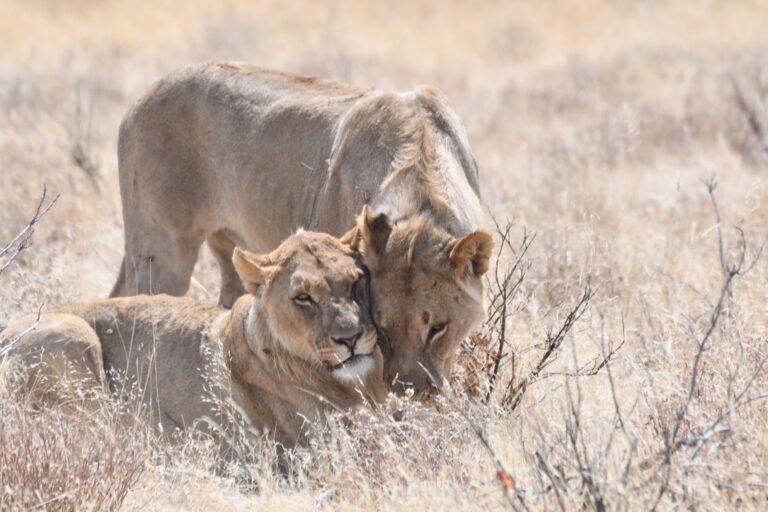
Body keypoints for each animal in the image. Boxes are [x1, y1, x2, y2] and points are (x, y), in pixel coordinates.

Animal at [110, 62, 492, 397]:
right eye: (382, 327)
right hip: (159, 253)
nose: (410, 394)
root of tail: (143, 96)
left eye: (438, 328)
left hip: (229, 250)